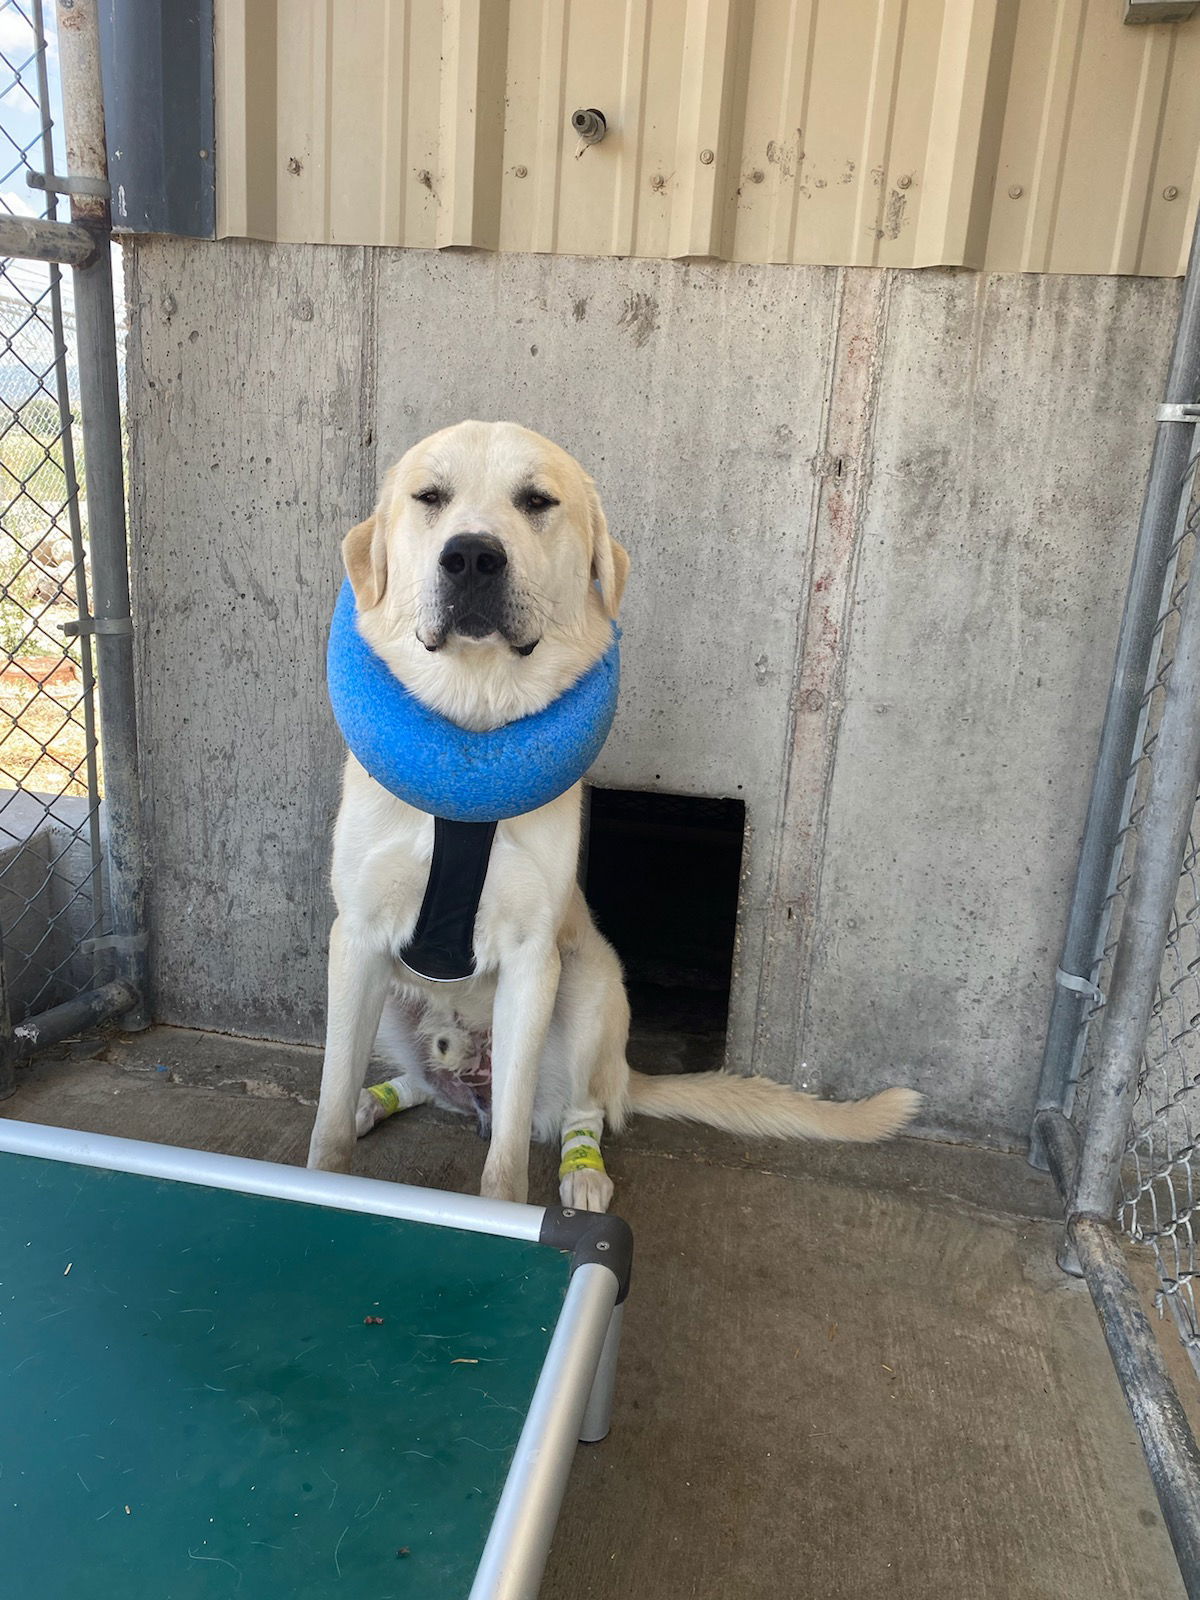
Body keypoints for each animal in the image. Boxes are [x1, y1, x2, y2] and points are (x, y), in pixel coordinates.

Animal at [307, 419, 921, 1203]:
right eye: (430, 497)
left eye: (537, 500)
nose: (472, 556)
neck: (471, 740)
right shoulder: (355, 941)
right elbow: (326, 1118)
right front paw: (325, 1174)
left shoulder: (531, 960)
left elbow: (506, 1159)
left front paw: (510, 1212)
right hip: (389, 999)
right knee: (424, 1085)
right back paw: (376, 1102)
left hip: (591, 988)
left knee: (583, 1107)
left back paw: (583, 1175)